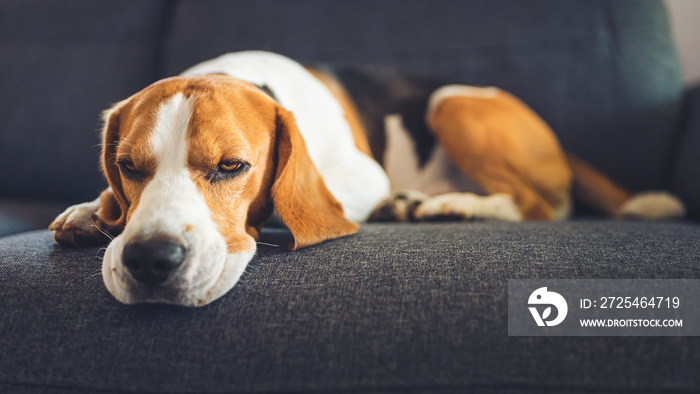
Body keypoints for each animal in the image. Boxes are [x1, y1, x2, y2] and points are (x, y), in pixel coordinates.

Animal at [49, 50, 684, 306]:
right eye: (129, 167)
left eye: (232, 167)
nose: (149, 259)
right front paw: (93, 211)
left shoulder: (362, 175)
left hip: (452, 105)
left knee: (543, 206)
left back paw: (452, 205)